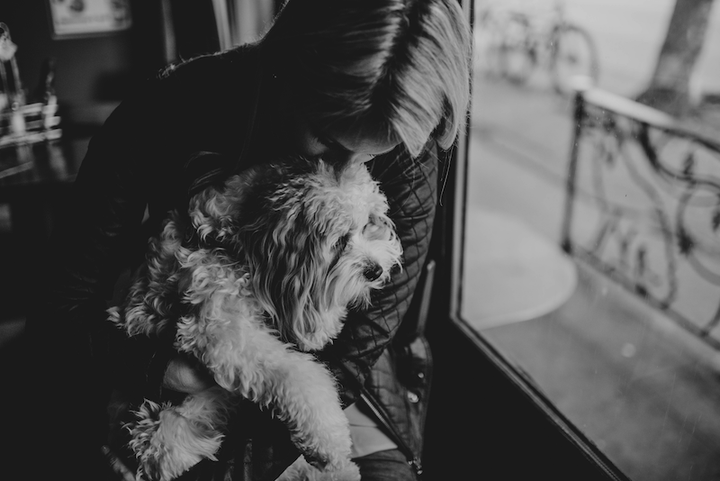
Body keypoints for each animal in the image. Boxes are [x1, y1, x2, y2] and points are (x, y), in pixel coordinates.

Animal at [107, 158, 402, 480]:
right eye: (339, 240)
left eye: (368, 224)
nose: (376, 270)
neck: (230, 241)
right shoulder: (219, 330)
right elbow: (298, 373)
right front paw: (328, 440)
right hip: (162, 430)